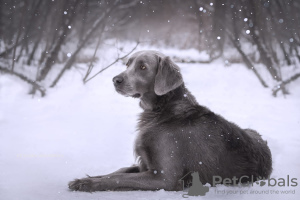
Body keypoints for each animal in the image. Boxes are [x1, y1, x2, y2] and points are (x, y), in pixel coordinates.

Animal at [69, 50, 274, 191]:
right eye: (127, 64)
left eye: (143, 67)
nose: (115, 80)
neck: (162, 111)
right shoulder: (144, 164)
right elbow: (119, 171)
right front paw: (86, 178)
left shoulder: (165, 178)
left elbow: (118, 179)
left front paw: (86, 183)